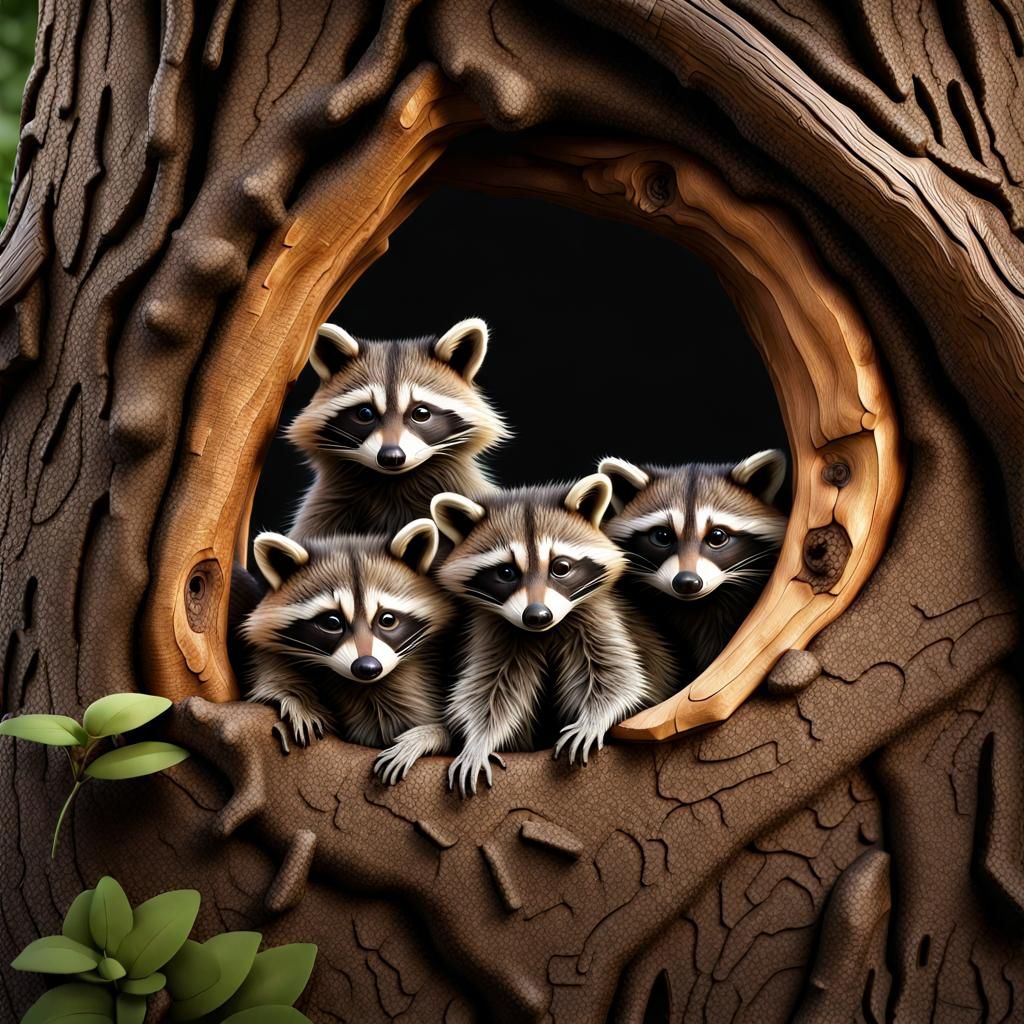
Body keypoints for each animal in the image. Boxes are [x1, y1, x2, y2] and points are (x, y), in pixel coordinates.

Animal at [241, 520, 455, 785]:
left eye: (387, 619)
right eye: (332, 622)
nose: (367, 667)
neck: (368, 688)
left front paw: (426, 736)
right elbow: (268, 664)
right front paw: (294, 698)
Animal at [431, 475, 677, 796]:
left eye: (561, 567)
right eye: (506, 572)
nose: (537, 615)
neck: (544, 632)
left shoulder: (597, 616)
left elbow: (617, 676)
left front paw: (593, 719)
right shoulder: (496, 631)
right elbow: (489, 691)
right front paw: (477, 740)